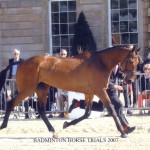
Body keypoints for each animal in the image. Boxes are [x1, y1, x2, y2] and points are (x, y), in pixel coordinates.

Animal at [0, 45, 139, 138]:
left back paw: (53, 131)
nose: (130, 80)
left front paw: (67, 123)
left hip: (42, 89)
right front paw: (122, 132)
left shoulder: (90, 93)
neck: (100, 62)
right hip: (27, 90)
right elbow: (111, 109)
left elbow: (87, 113)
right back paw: (3, 126)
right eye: (131, 60)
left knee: (42, 111)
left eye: (138, 62)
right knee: (11, 103)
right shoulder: (100, 91)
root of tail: (23, 62)